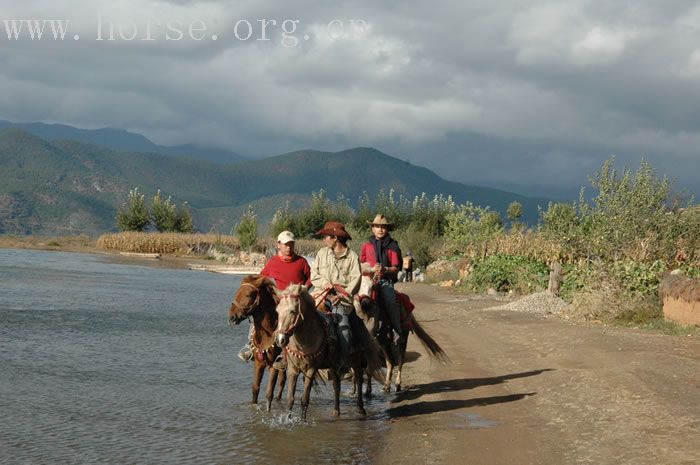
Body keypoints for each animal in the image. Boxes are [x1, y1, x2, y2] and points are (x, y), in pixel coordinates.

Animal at [228, 276, 286, 410]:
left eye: (248, 294)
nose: (231, 317)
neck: (268, 334)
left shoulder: (274, 365)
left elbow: (269, 393)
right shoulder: (259, 363)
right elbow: (255, 388)